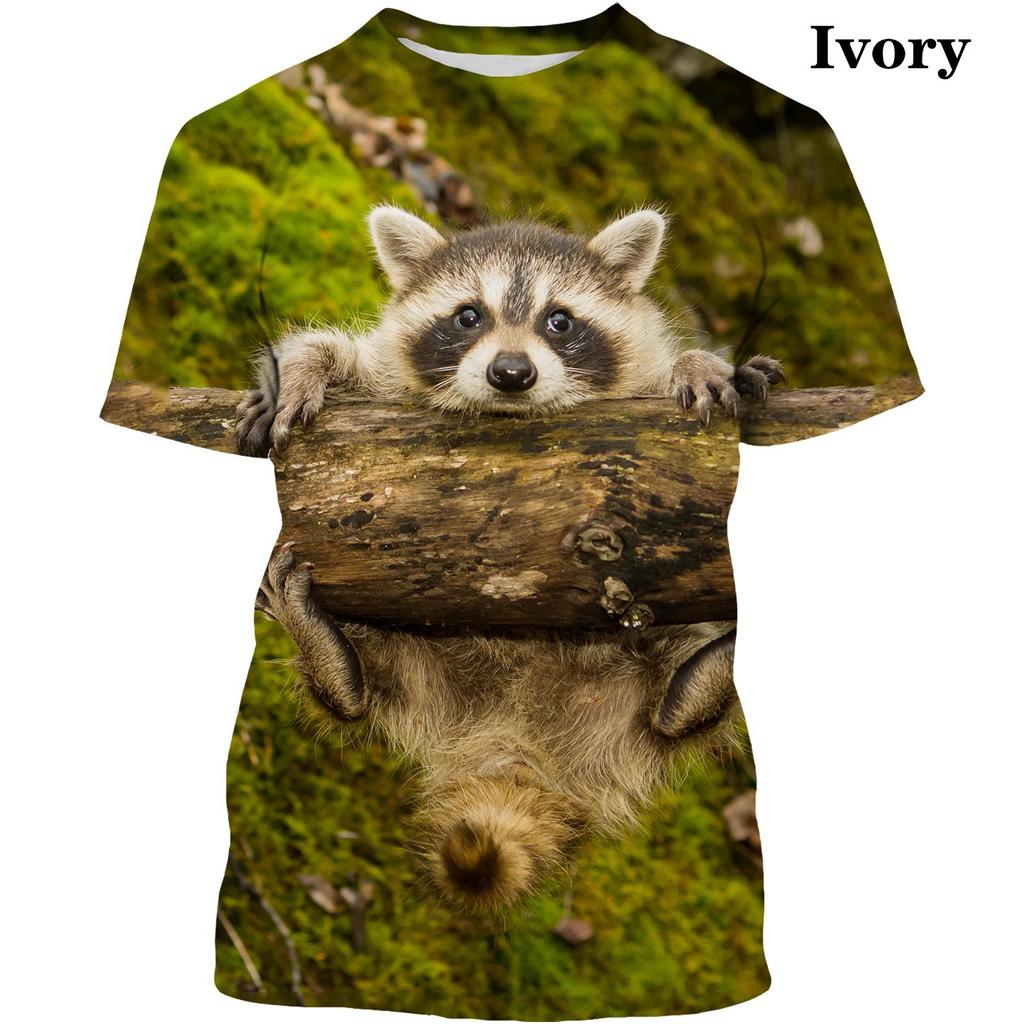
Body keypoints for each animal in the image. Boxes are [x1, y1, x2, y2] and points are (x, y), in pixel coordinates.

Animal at [238, 207, 782, 912]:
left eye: (561, 320)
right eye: (469, 316)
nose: (511, 372)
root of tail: (518, 739)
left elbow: (666, 371)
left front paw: (696, 362)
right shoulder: (389, 374)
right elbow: (345, 354)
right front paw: (304, 367)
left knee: (671, 713)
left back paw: (698, 686)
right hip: (416, 664)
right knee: (367, 687)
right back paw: (334, 660)